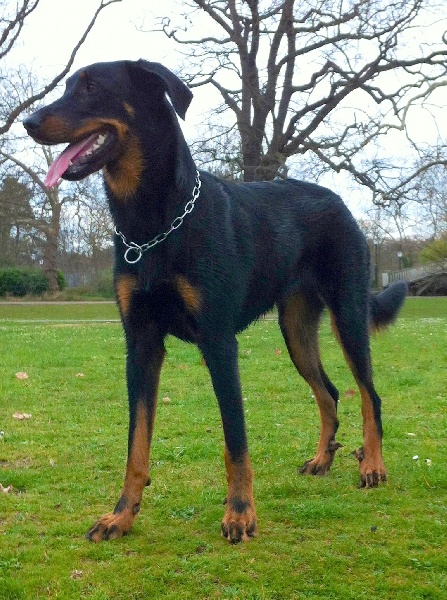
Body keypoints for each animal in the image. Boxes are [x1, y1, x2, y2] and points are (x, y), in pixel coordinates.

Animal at [25, 59, 410, 544]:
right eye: (67, 86)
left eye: (92, 88)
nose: (28, 122)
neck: (155, 222)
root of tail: (339, 200)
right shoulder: (141, 346)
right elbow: (136, 445)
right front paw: (121, 516)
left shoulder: (219, 343)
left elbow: (235, 440)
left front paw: (240, 513)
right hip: (296, 329)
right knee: (329, 392)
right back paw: (323, 460)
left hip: (349, 315)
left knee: (368, 394)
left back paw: (373, 466)